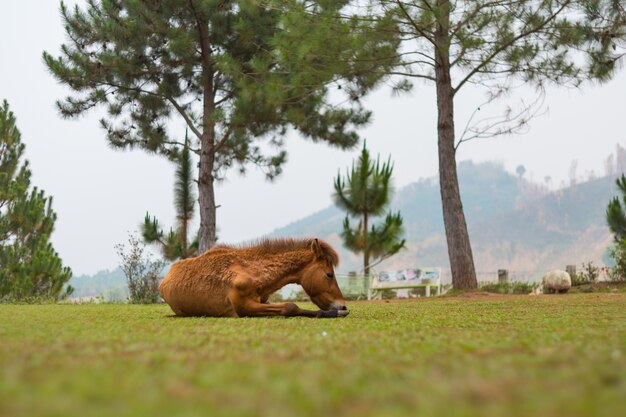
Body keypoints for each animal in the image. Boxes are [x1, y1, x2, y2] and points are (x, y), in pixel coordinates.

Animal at [158, 237, 348, 318]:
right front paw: (334, 312)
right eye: (329, 274)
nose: (343, 305)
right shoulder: (245, 307)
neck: (253, 271)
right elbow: (290, 307)